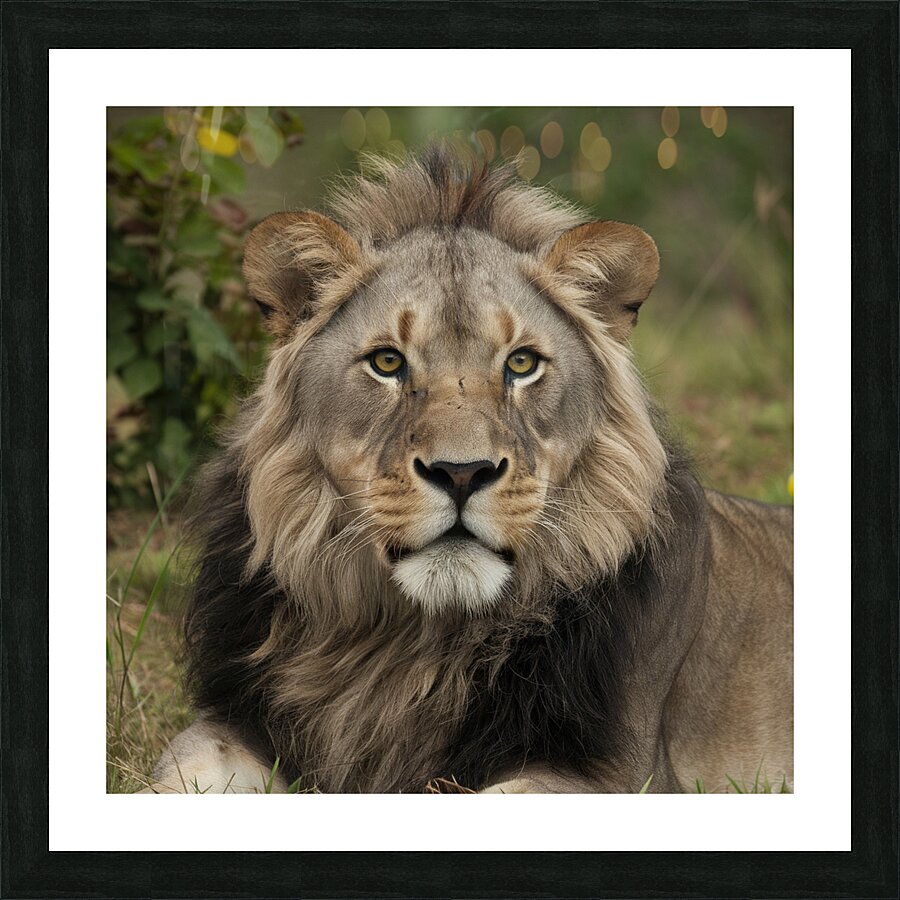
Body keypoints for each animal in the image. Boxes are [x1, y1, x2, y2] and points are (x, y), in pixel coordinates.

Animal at [143, 145, 792, 794]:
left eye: (522, 364)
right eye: (387, 362)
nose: (462, 473)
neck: (409, 646)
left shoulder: (622, 772)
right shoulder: (232, 723)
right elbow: (175, 774)